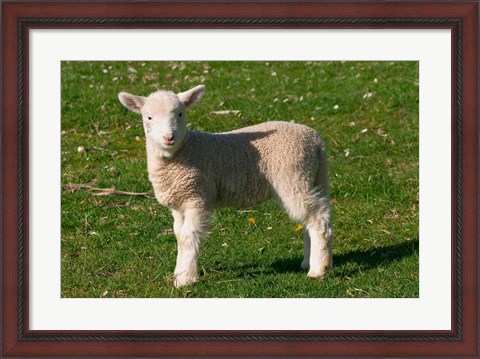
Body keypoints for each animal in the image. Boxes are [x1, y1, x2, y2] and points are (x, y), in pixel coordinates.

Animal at [118, 85, 332, 290]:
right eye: (149, 117)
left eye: (180, 114)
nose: (169, 137)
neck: (183, 152)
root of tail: (316, 140)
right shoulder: (179, 204)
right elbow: (179, 236)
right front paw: (179, 274)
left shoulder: (197, 197)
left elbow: (188, 237)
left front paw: (185, 279)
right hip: (313, 177)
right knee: (311, 218)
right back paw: (308, 261)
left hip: (293, 176)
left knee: (318, 219)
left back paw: (318, 269)